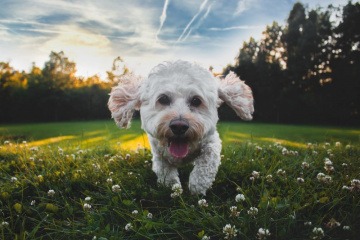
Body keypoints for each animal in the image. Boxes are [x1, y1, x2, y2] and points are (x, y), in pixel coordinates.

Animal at [107, 60, 253, 195]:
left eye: (196, 101)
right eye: (163, 99)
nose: (179, 126)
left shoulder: (211, 141)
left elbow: (206, 163)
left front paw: (197, 186)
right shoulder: (158, 153)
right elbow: (165, 172)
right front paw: (173, 188)